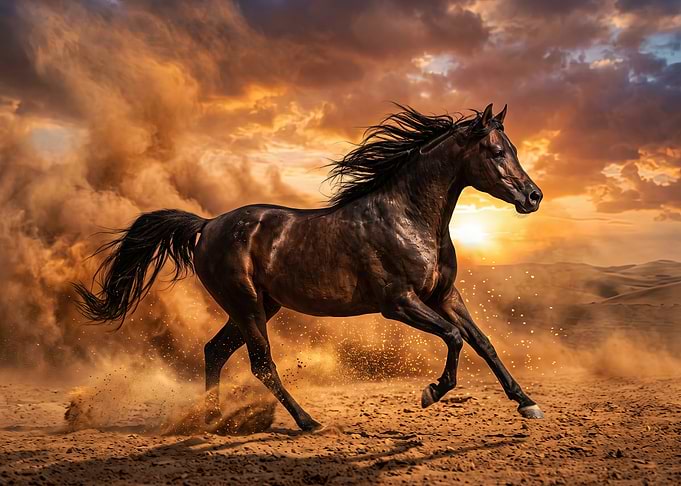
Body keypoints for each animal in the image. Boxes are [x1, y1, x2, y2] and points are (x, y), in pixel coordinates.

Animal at [74, 103, 545, 431]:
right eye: (497, 151)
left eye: (514, 149)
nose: (533, 196)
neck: (407, 216)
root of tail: (207, 225)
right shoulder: (399, 303)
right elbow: (454, 338)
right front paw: (431, 393)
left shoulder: (445, 295)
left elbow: (482, 342)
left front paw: (527, 402)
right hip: (246, 306)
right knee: (261, 365)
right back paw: (307, 422)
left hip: (260, 307)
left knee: (214, 351)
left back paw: (212, 421)